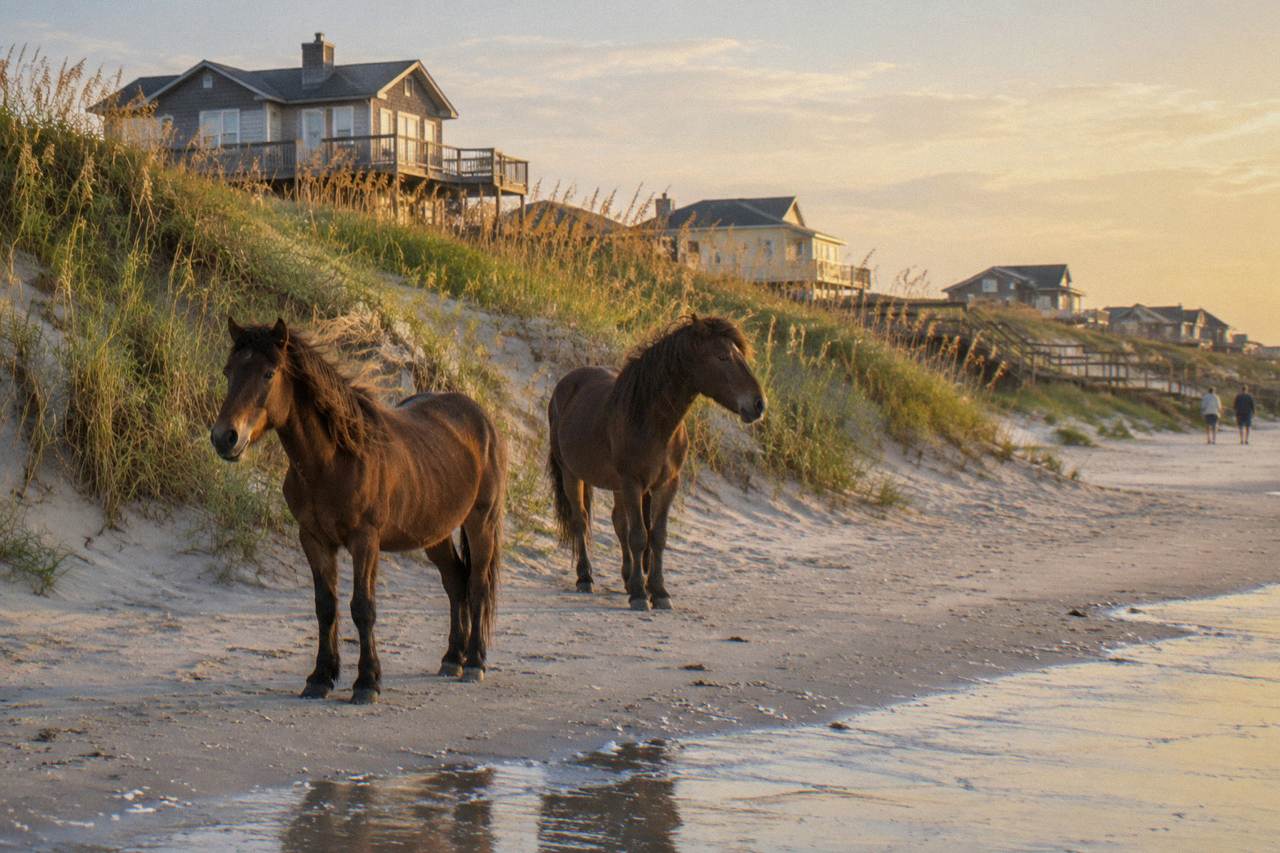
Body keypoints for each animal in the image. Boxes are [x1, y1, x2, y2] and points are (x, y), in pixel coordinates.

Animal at [210, 318, 507, 703]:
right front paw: (320, 678)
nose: (224, 437)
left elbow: (362, 607)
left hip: (481, 521)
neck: (334, 459)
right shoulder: (314, 539)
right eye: (229, 371)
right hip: (435, 532)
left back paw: (474, 662)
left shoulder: (365, 541)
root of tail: (480, 416)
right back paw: (452, 659)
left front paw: (367, 682)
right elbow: (325, 606)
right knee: (455, 582)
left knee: (477, 585)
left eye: (268, 373)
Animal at [546, 316, 765, 611]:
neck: (651, 421)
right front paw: (640, 594)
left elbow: (657, 536)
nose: (758, 404)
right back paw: (585, 577)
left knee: (618, 522)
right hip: (572, 473)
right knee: (580, 520)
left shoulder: (667, 483)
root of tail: (566, 383)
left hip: (616, 485)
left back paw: (627, 578)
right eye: (723, 356)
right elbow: (639, 536)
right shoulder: (633, 482)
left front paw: (659, 591)